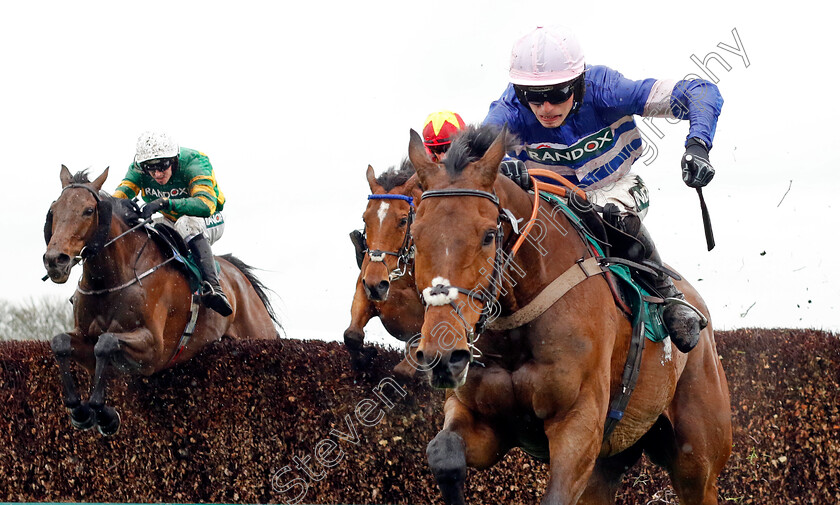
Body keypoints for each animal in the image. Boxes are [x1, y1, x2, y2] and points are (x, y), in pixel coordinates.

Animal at [43, 167, 278, 436]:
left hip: (258, 333)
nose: (55, 260)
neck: (112, 279)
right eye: (53, 210)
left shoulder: (154, 349)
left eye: (88, 210)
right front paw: (79, 410)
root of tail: (239, 275)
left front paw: (104, 415)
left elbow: (106, 342)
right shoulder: (85, 338)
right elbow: (60, 343)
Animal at [342, 160, 424, 374]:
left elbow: (404, 370)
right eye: (365, 218)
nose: (376, 285)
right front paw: (367, 357)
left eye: (403, 220)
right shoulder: (364, 288)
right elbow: (352, 336)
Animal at [406, 127, 728, 504]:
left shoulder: (578, 423)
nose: (444, 357)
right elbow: (443, 454)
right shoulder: (481, 419)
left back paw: (680, 317)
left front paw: (696, 160)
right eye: (415, 236)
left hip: (697, 462)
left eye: (488, 235)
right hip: (611, 460)